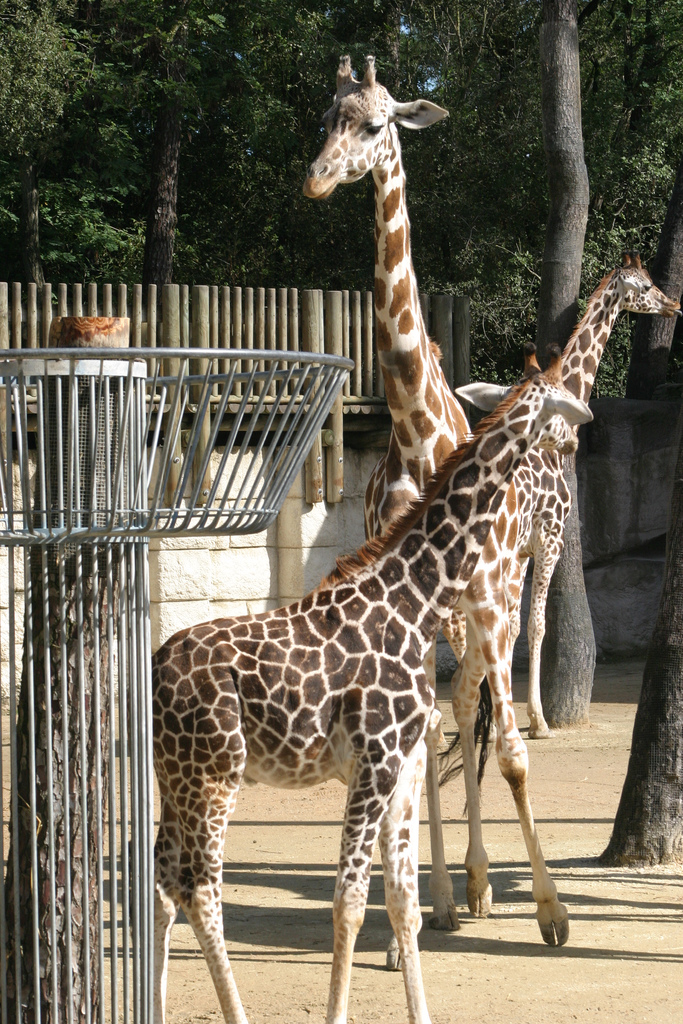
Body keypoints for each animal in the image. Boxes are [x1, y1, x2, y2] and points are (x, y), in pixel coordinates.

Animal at [152, 363, 592, 1024]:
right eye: (562, 404)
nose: (575, 440)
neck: (414, 597)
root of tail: (154, 674)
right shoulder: (376, 761)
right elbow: (350, 899)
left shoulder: (401, 767)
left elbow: (402, 900)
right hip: (214, 777)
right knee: (201, 889)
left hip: (173, 781)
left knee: (160, 886)